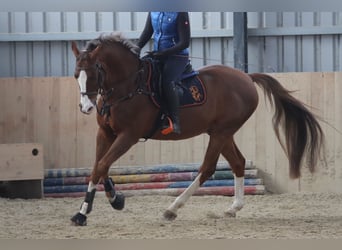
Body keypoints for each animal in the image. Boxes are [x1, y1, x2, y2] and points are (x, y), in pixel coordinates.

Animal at [70, 32, 326, 226]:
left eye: (94, 72)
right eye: (76, 75)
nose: (85, 107)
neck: (128, 86)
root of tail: (246, 77)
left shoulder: (128, 136)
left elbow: (102, 165)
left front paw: (86, 212)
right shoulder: (106, 133)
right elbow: (98, 167)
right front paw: (109, 201)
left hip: (221, 133)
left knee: (207, 168)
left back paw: (173, 208)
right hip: (221, 133)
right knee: (238, 163)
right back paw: (233, 208)